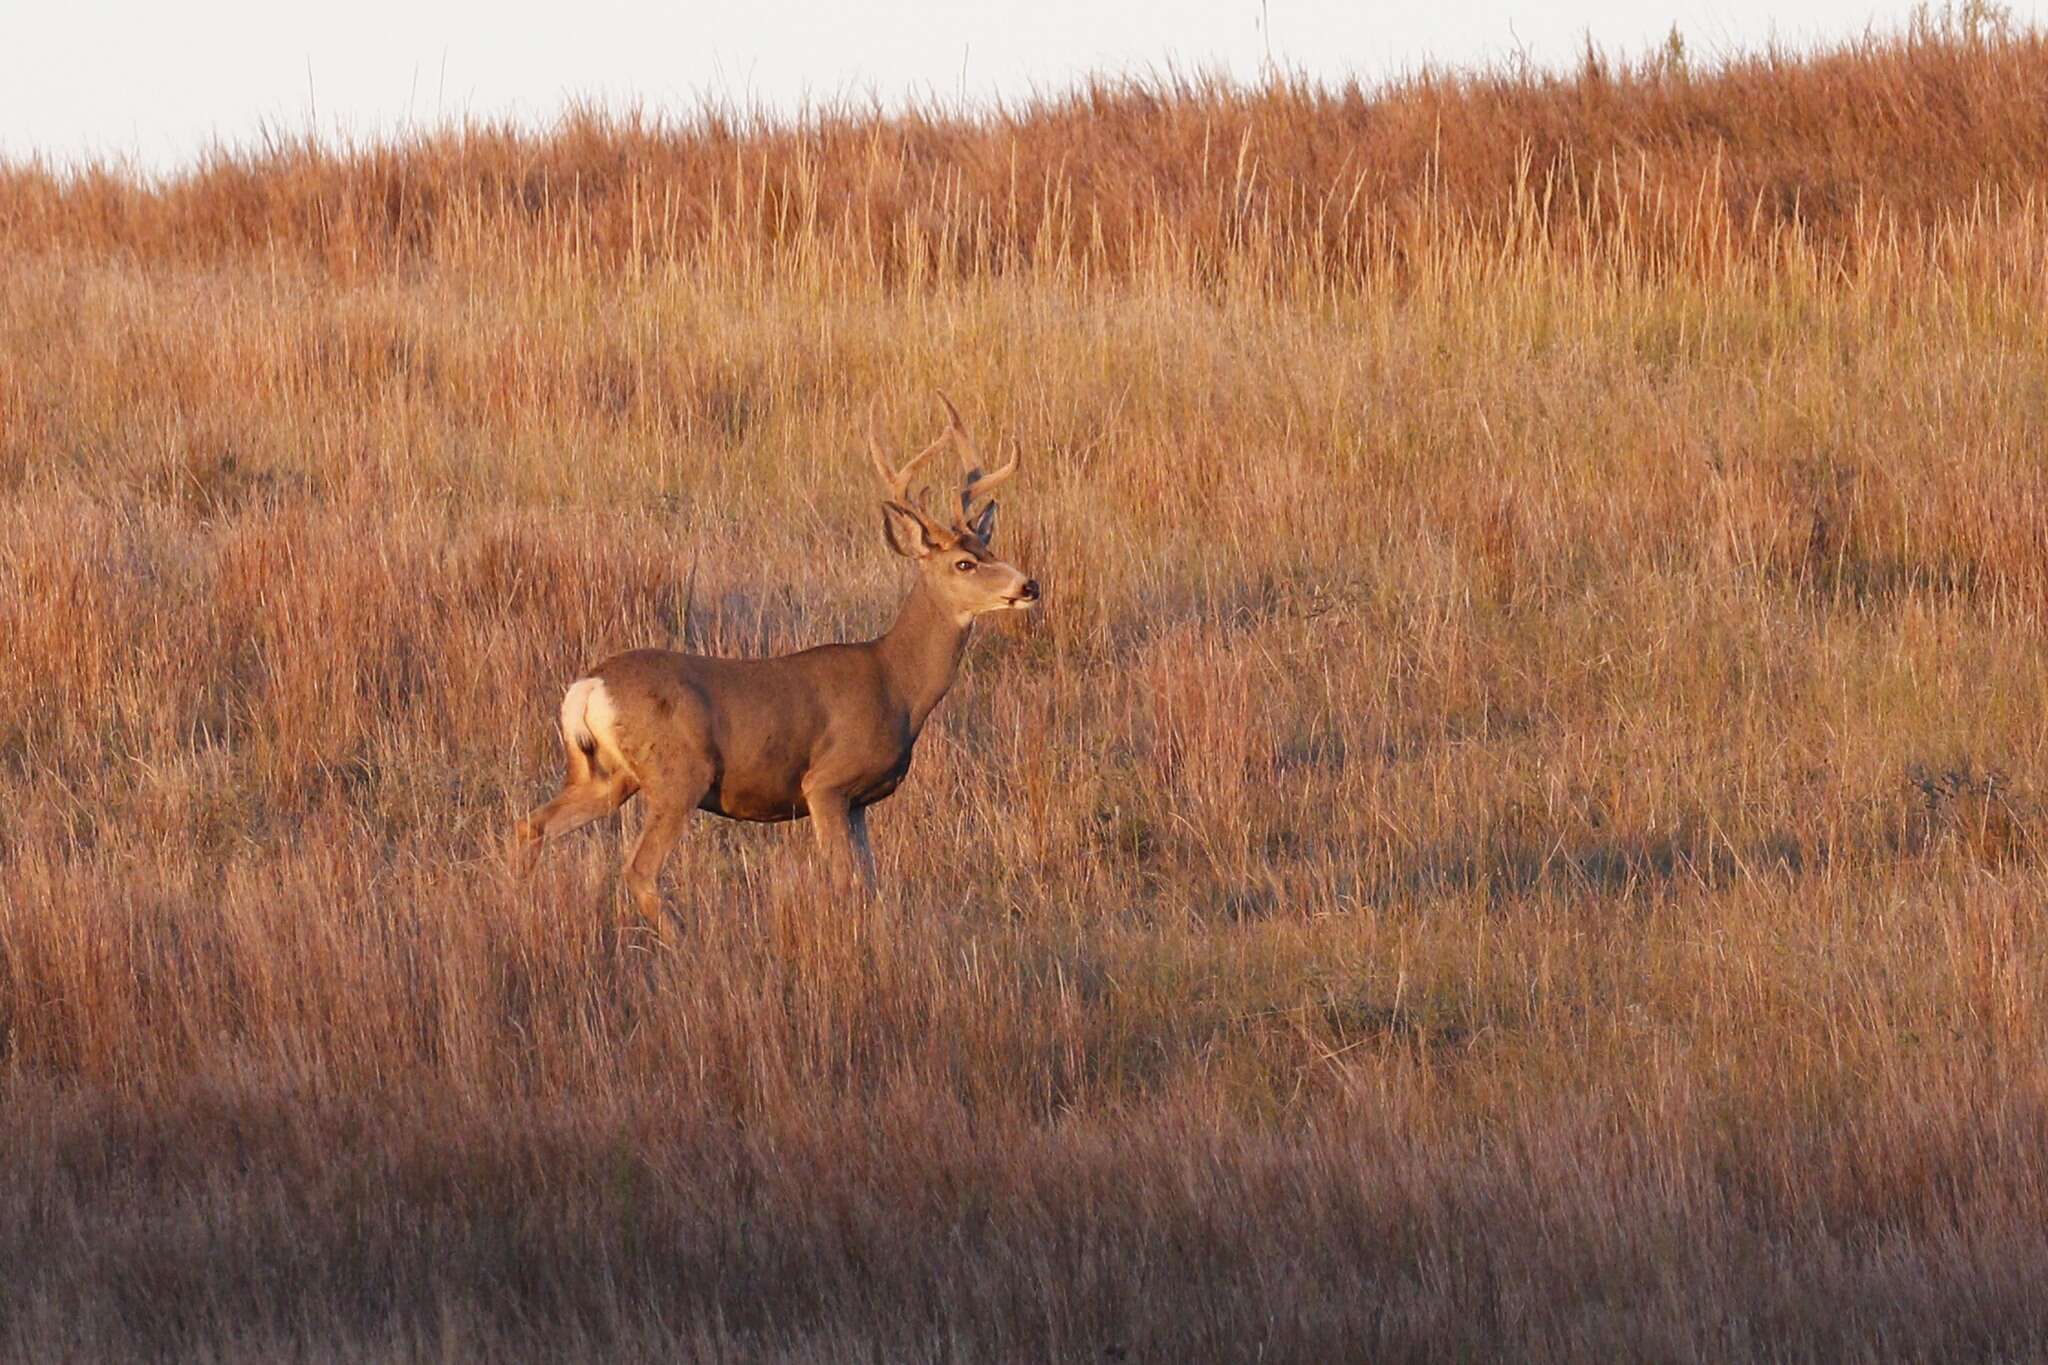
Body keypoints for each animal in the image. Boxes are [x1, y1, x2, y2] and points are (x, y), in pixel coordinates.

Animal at [505, 394, 1032, 929]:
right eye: (964, 563)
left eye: (988, 547)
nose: (1028, 585)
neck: (897, 685)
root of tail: (590, 686)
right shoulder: (826, 783)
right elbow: (844, 883)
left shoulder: (859, 802)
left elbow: (870, 885)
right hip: (679, 774)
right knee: (638, 869)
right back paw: (679, 939)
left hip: (605, 774)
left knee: (530, 826)